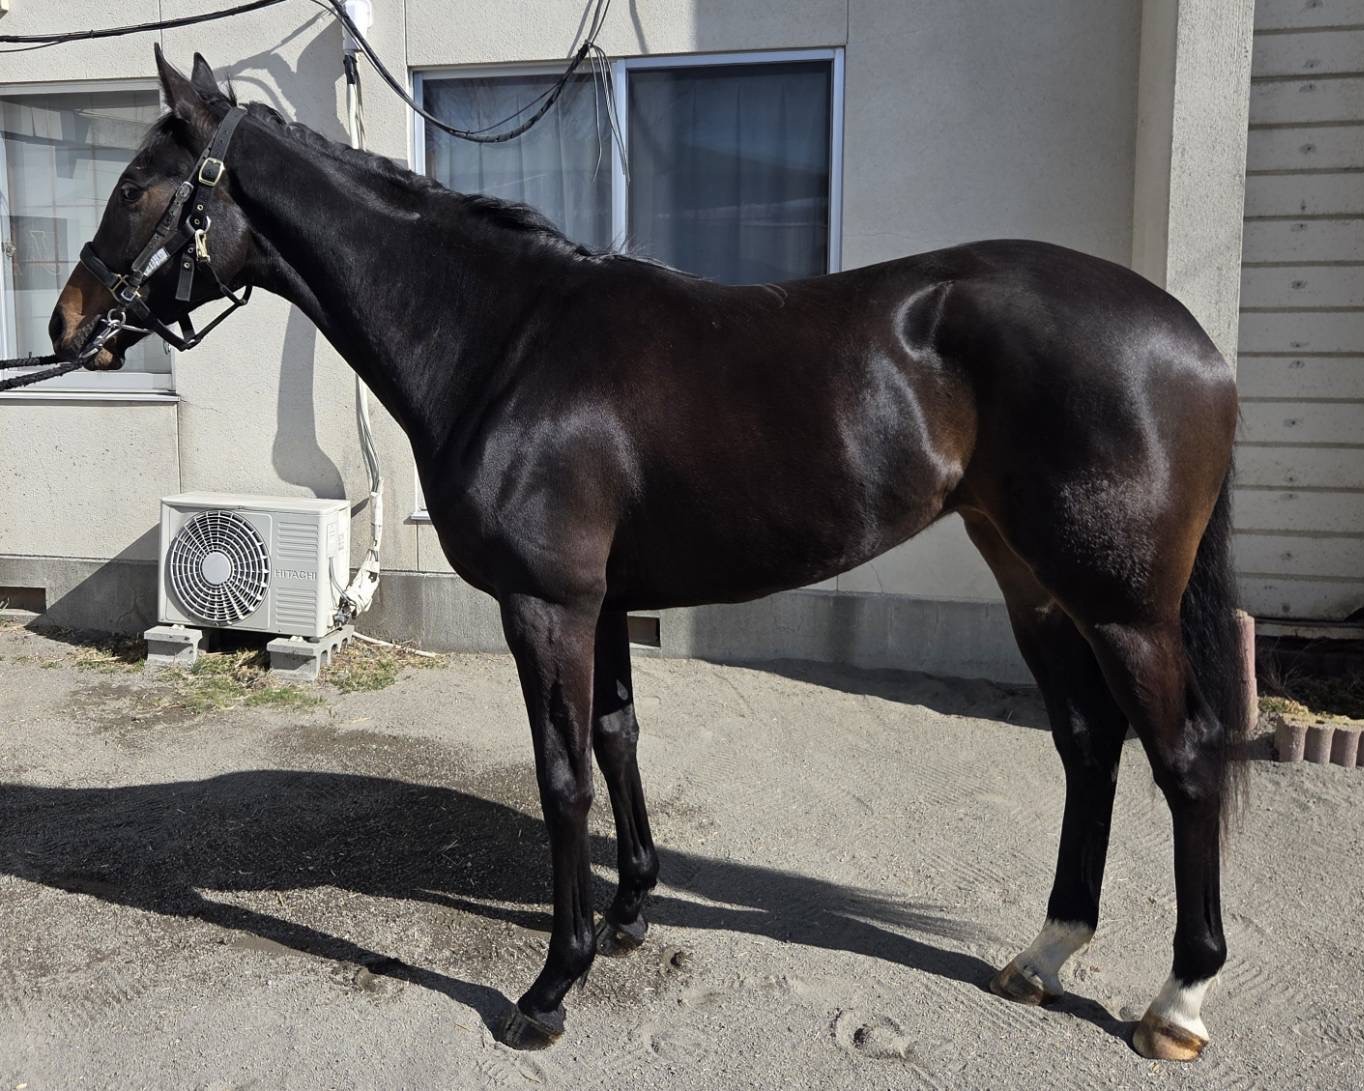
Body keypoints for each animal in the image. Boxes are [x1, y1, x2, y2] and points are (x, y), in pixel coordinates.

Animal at [50, 49, 1247, 1061]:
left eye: (137, 187)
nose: (66, 325)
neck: (504, 340)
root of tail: (1193, 340)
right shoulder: (608, 600)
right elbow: (619, 736)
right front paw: (628, 909)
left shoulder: (548, 605)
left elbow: (563, 775)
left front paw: (550, 986)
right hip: (1032, 583)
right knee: (1088, 745)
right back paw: (1046, 952)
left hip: (1122, 604)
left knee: (1183, 759)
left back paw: (1178, 1001)